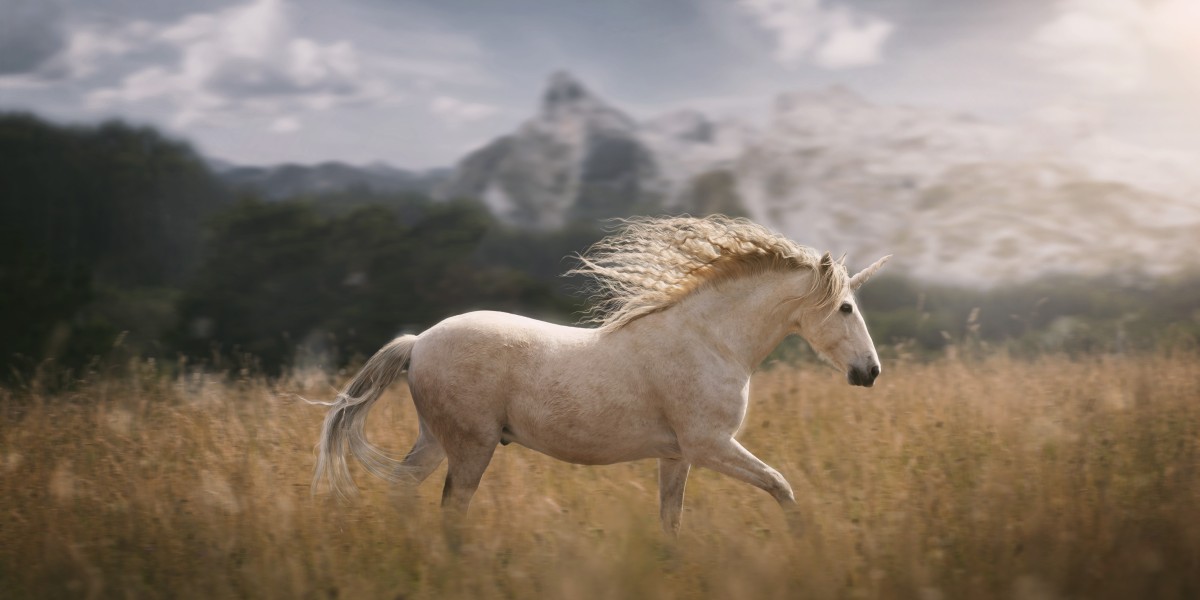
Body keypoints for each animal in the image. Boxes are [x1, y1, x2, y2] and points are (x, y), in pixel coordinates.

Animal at [310, 215, 891, 534]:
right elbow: (782, 487)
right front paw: (805, 543)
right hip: (472, 446)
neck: (711, 340)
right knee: (451, 510)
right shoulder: (710, 446)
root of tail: (418, 343)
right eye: (845, 308)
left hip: (438, 439)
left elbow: (671, 522)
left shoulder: (677, 456)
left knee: (403, 489)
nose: (870, 372)